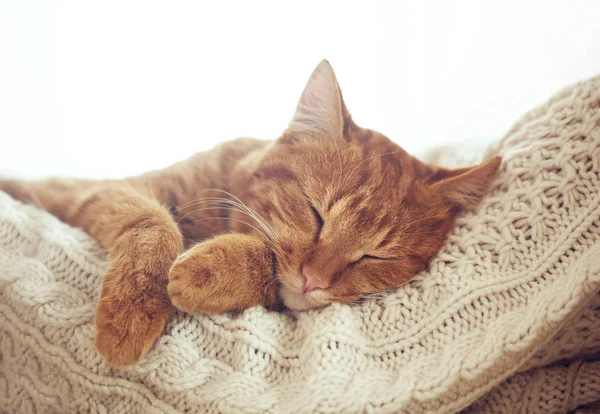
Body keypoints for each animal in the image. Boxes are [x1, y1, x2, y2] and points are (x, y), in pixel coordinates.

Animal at [0, 60, 502, 366]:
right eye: (316, 214)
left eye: (376, 257)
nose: (315, 281)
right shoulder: (116, 191)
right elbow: (154, 226)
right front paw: (131, 313)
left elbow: (266, 266)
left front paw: (209, 271)